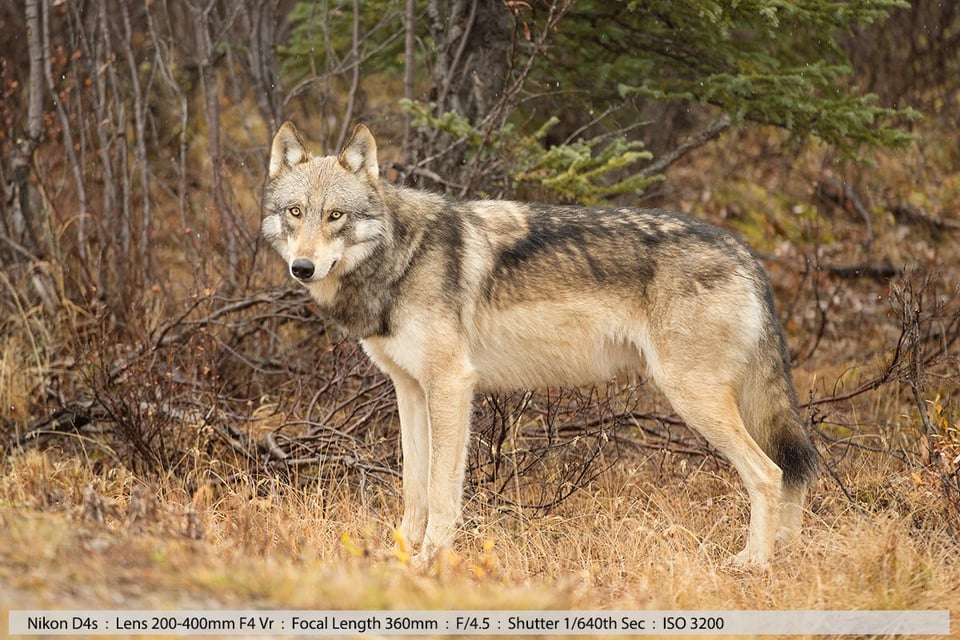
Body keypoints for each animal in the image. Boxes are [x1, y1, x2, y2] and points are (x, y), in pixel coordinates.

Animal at [262, 120, 816, 564]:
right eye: (296, 212)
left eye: (336, 216)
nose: (302, 267)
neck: (402, 256)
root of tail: (745, 251)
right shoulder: (411, 390)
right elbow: (414, 485)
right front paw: (398, 555)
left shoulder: (451, 386)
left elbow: (441, 490)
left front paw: (429, 561)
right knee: (788, 474)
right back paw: (785, 556)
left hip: (691, 396)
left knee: (769, 473)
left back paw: (753, 563)